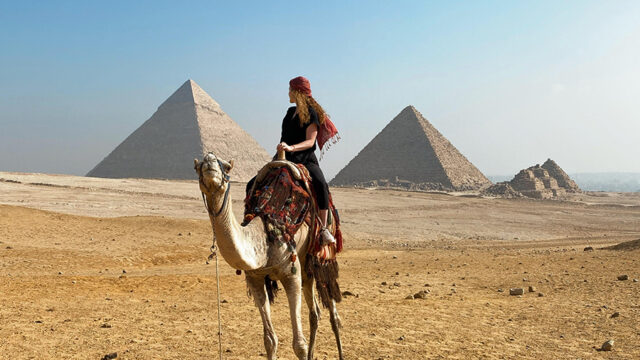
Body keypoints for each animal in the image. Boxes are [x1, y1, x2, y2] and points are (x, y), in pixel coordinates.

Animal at [195, 152, 344, 360]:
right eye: (197, 166)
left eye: (226, 166)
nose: (209, 161)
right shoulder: (255, 278)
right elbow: (270, 340)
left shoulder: (290, 273)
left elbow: (299, 344)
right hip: (306, 266)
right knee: (315, 313)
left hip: (322, 258)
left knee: (333, 315)